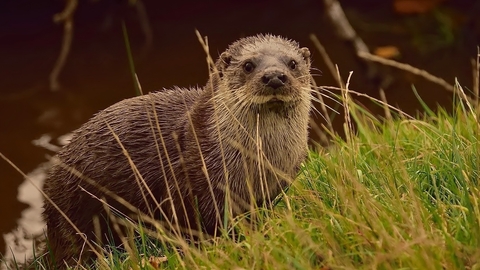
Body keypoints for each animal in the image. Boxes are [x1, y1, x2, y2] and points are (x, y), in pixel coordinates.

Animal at [43, 34, 314, 268]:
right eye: (248, 65)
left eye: (292, 63)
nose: (275, 76)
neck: (259, 165)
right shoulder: (191, 184)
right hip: (69, 214)